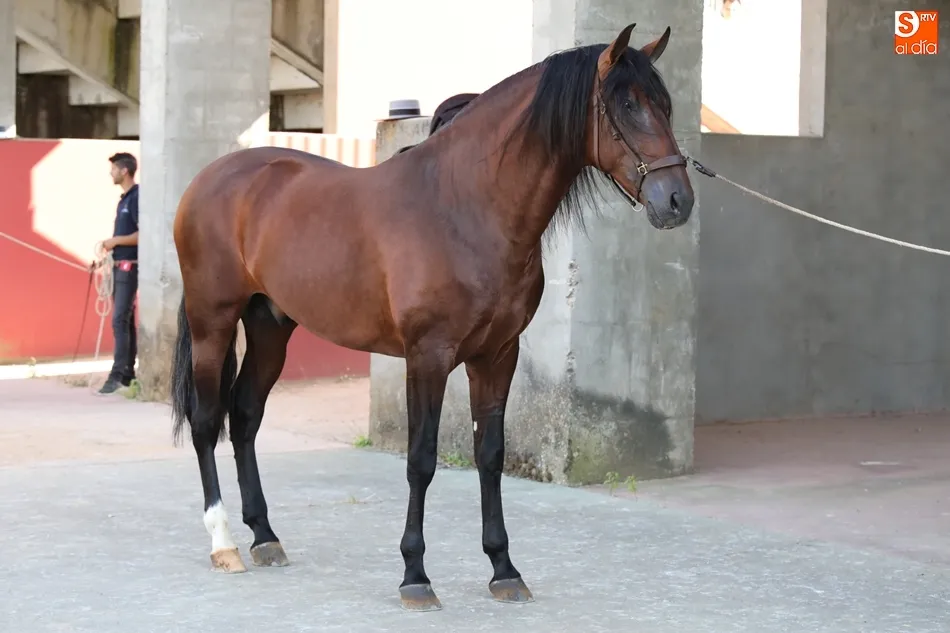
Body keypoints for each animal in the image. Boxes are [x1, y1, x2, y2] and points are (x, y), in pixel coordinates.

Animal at [169, 22, 695, 611]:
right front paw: (415, 576)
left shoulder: (496, 355)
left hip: (270, 327)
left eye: (665, 105)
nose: (677, 200)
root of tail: (211, 177)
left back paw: (265, 536)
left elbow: (490, 455)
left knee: (245, 416)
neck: (465, 209)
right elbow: (421, 459)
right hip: (212, 321)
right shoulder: (427, 356)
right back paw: (224, 543)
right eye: (626, 104)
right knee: (207, 421)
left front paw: (504, 569)